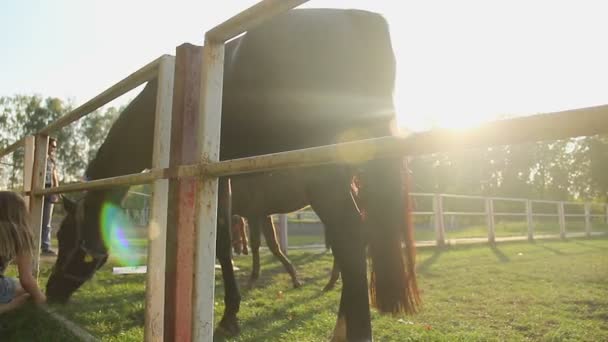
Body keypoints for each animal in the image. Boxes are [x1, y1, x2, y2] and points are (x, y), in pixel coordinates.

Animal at [45, 9, 420, 340]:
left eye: (65, 236)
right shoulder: (221, 176)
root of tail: (361, 22)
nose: (49, 292)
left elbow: (223, 243)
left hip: (325, 176)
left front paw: (228, 317)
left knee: (350, 237)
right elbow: (224, 240)